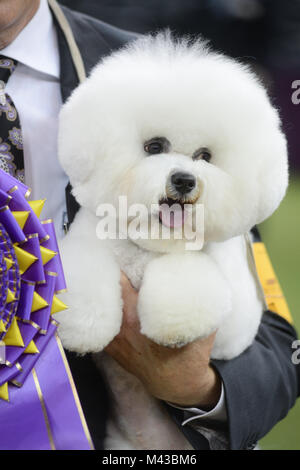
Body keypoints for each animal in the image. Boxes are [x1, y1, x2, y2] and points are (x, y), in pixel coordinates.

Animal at [55, 31, 288, 450]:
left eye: (205, 156)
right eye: (154, 146)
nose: (183, 180)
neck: (149, 245)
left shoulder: (233, 317)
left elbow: (189, 283)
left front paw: (172, 327)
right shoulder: (88, 242)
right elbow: (83, 274)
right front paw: (83, 327)